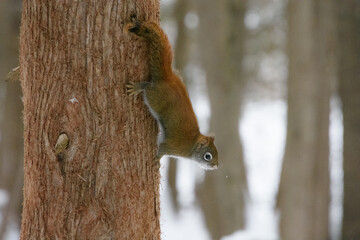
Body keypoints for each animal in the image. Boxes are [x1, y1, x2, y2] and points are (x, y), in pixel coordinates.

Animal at [125, 19, 218, 171]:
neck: (192, 144)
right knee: (147, 87)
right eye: (208, 156)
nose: (216, 166)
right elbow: (162, 149)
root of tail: (168, 78)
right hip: (154, 97)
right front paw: (157, 161)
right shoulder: (173, 147)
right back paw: (138, 87)